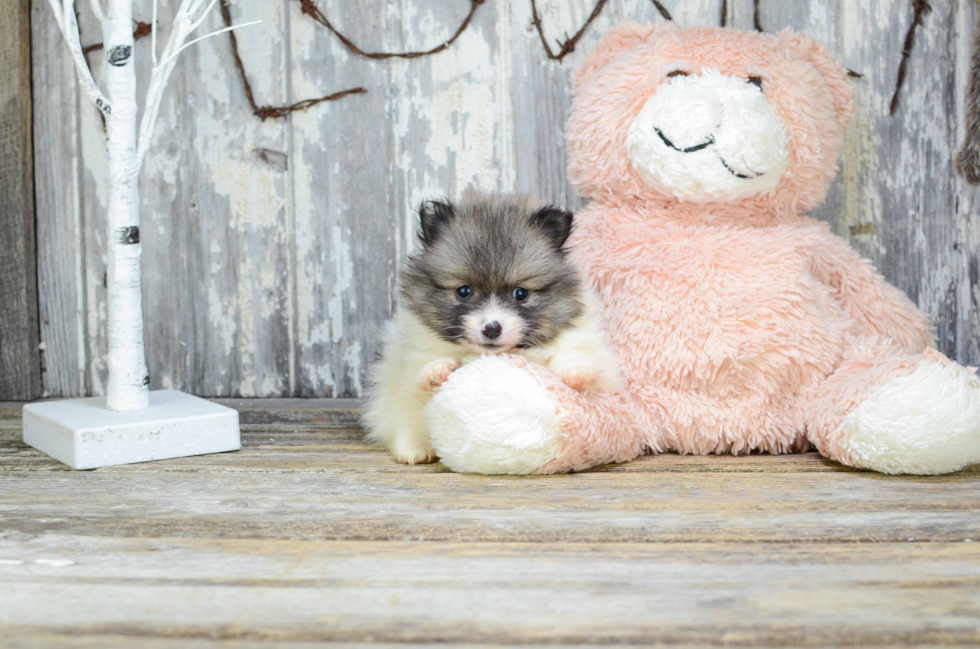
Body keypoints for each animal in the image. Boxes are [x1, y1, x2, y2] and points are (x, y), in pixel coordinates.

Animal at [364, 190, 624, 464]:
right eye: (464, 291)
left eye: (520, 293)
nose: (492, 328)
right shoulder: (409, 363)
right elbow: (419, 381)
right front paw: (436, 371)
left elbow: (578, 361)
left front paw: (577, 372)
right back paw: (414, 450)